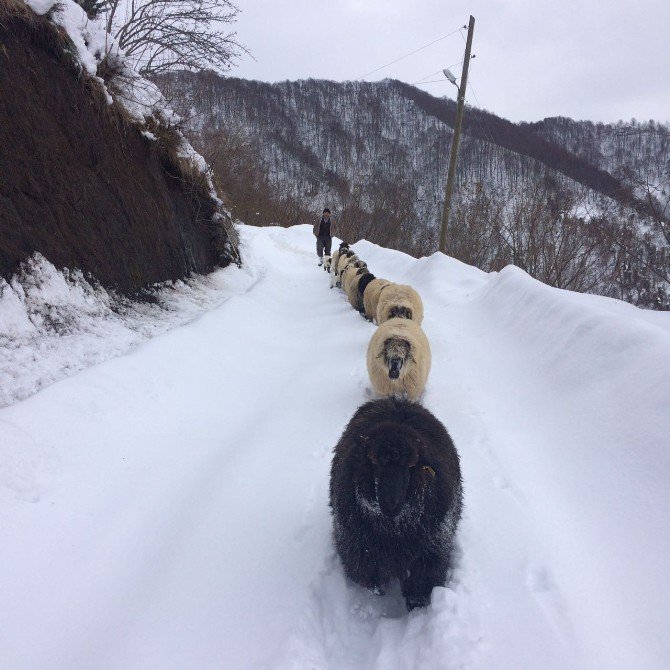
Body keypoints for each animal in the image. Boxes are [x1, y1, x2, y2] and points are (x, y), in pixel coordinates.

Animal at [330, 400, 462, 616]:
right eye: (374, 462)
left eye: (411, 465)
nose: (391, 504)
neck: (393, 531)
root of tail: (396, 399)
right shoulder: (357, 549)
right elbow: (371, 582)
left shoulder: (430, 555)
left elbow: (418, 591)